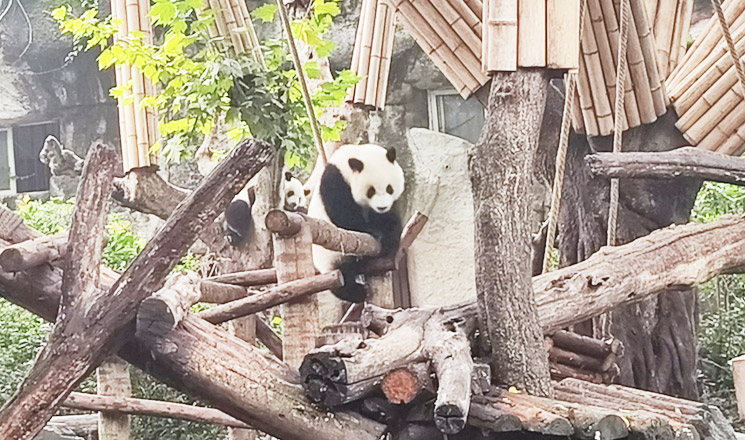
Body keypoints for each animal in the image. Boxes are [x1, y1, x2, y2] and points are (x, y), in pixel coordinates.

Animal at [308, 144, 404, 302]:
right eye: (371, 191)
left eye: (389, 188)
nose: (382, 207)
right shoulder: (334, 179)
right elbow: (343, 215)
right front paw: (374, 232)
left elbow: (389, 220)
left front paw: (389, 238)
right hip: (332, 257)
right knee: (342, 275)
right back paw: (356, 292)